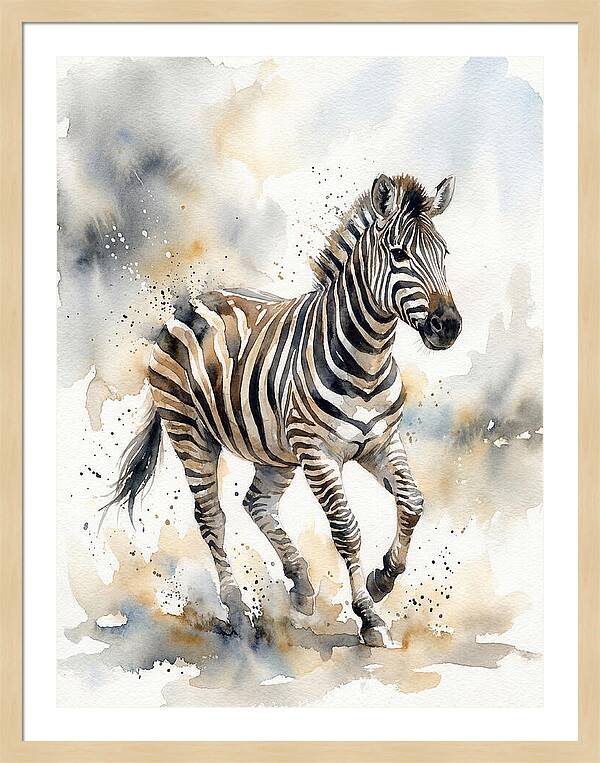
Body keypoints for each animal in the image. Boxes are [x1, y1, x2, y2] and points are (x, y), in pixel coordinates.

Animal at [103, 173, 462, 648]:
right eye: (399, 254)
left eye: (444, 254)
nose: (449, 327)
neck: (367, 360)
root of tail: (192, 303)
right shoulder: (318, 452)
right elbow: (346, 529)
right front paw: (369, 616)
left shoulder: (381, 442)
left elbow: (413, 502)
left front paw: (384, 578)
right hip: (191, 434)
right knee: (211, 516)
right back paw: (237, 612)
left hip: (275, 451)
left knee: (256, 503)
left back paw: (302, 586)